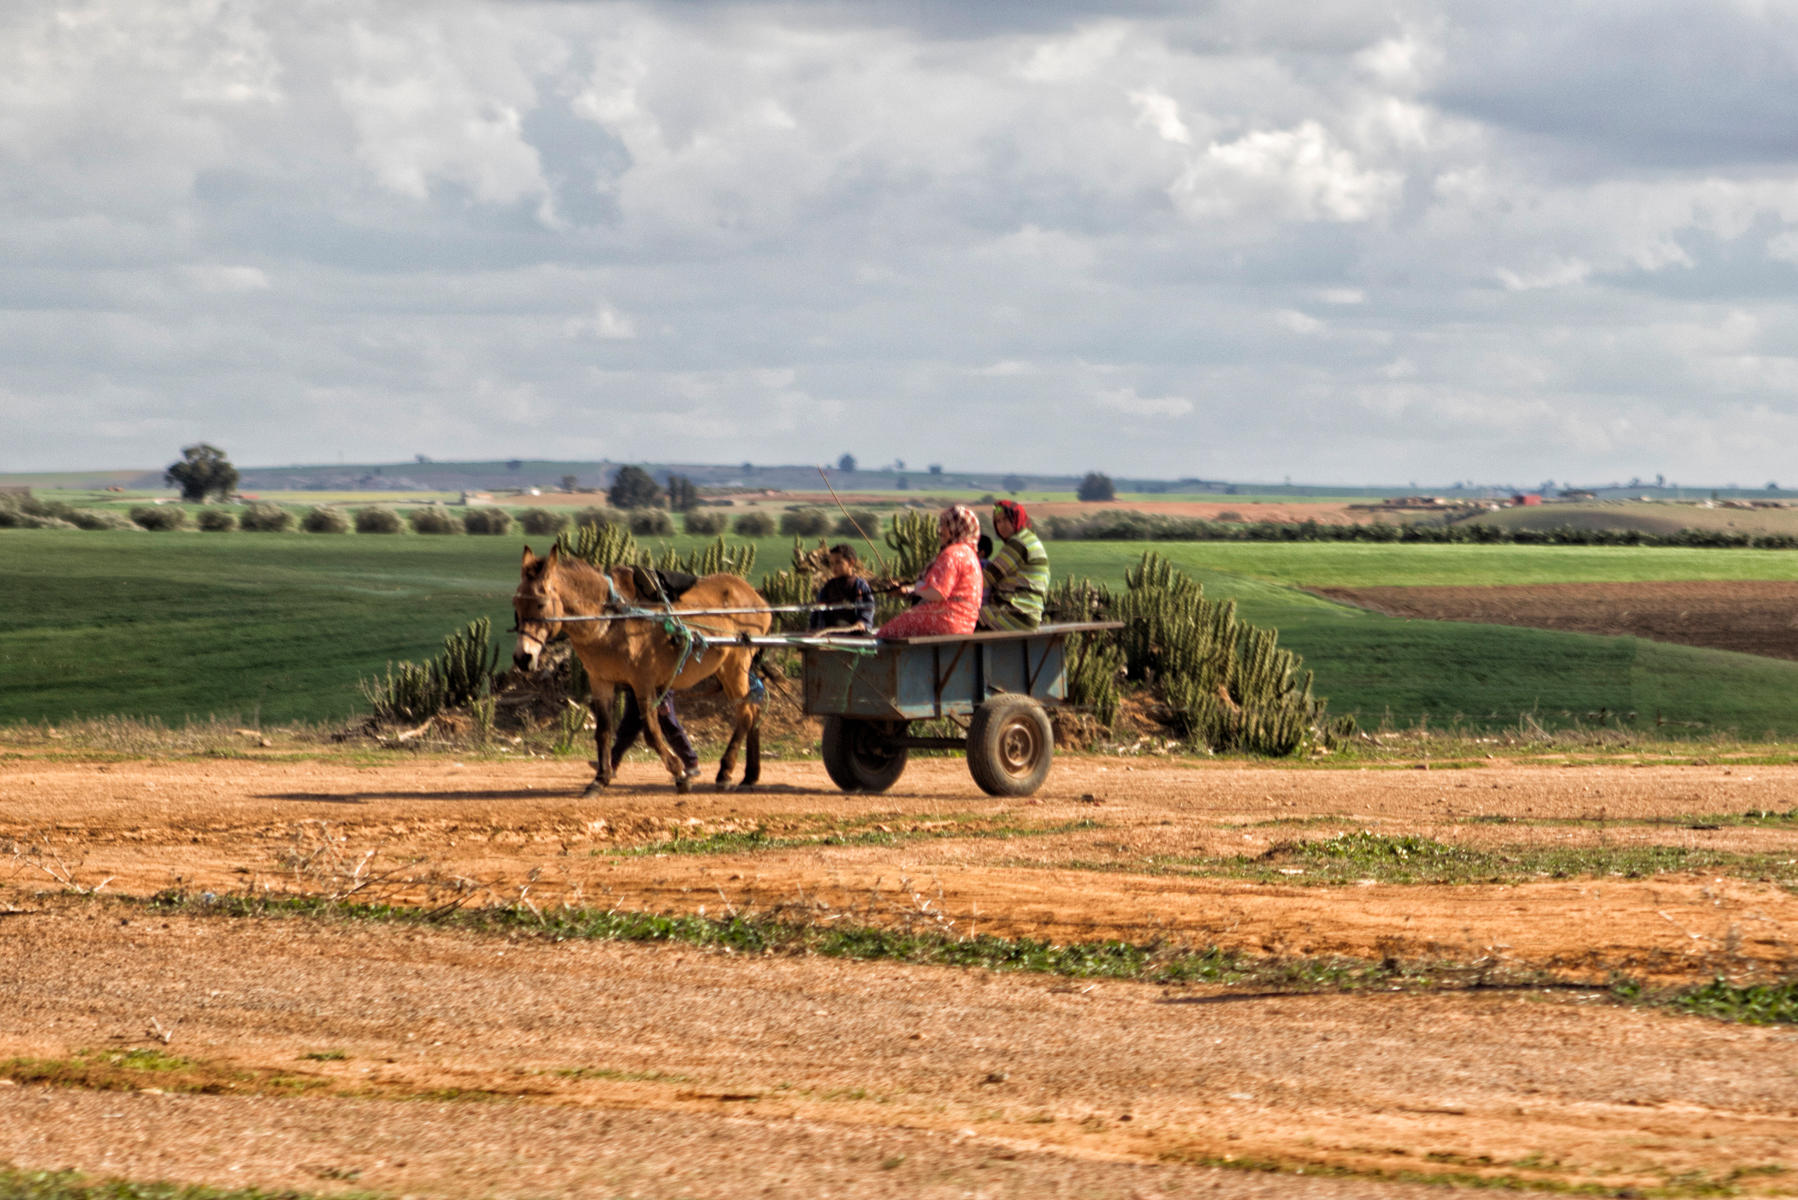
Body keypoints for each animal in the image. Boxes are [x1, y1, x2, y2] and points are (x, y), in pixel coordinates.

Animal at [517, 546, 776, 798]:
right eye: (516, 603)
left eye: (541, 604)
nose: (522, 658)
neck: (610, 617)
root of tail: (755, 595)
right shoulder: (600, 680)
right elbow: (604, 731)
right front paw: (600, 780)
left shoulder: (642, 681)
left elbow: (651, 731)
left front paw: (680, 774)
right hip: (725, 669)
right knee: (754, 709)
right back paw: (749, 775)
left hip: (736, 665)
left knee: (745, 713)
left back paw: (725, 772)